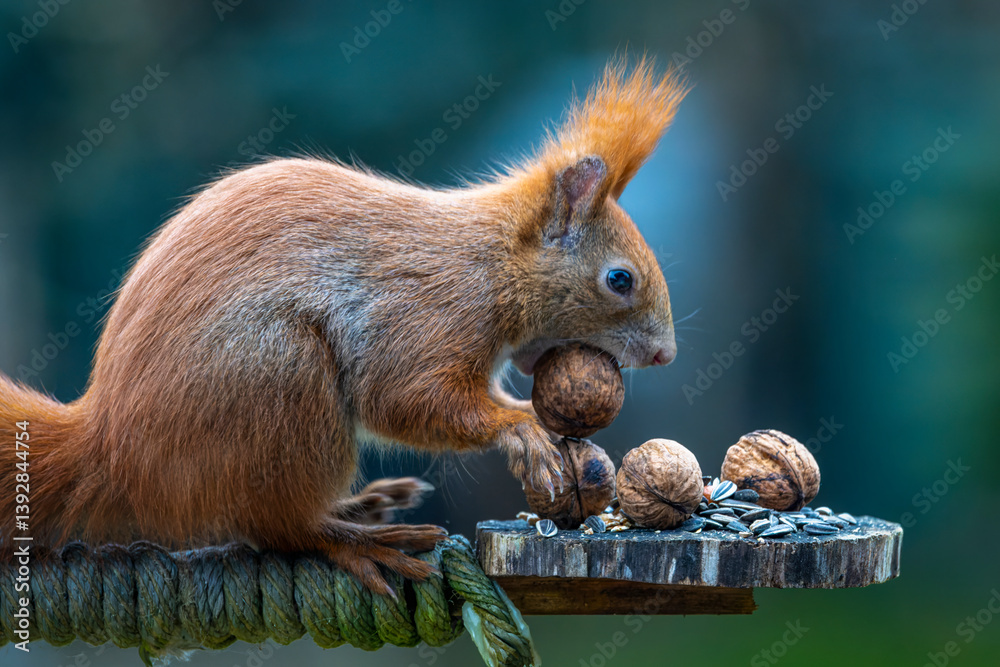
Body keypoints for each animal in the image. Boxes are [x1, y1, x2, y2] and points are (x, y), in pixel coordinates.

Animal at [0, 58, 685, 595]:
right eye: (619, 280)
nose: (666, 355)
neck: (492, 263)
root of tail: (114, 450)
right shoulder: (427, 314)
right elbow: (404, 397)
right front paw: (520, 429)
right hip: (279, 380)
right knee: (278, 525)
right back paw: (355, 538)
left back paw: (361, 509)